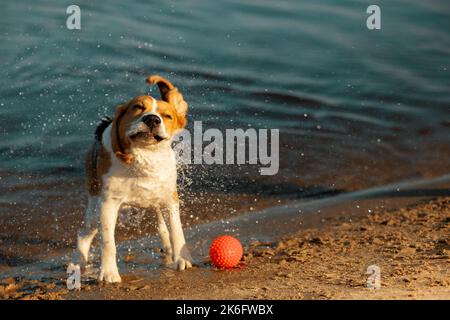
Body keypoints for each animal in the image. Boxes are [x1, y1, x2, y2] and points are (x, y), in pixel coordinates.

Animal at [75, 74, 192, 282]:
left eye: (167, 116)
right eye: (137, 107)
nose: (152, 119)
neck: (144, 158)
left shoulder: (170, 199)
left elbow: (176, 230)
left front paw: (182, 258)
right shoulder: (108, 204)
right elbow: (108, 242)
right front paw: (109, 272)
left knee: (162, 226)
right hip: (95, 206)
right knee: (84, 234)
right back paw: (79, 263)